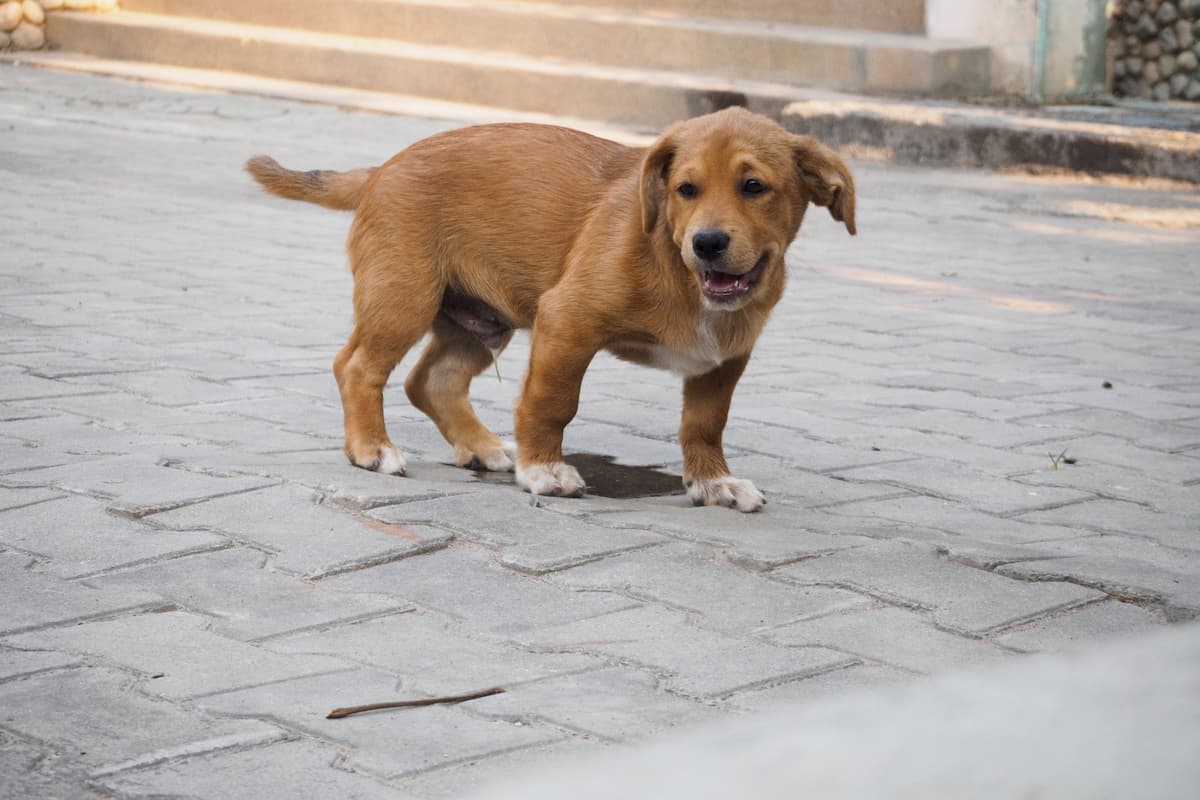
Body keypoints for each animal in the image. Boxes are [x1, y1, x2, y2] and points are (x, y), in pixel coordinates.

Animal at [248, 106, 854, 513]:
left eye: (753, 186)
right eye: (686, 189)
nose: (706, 243)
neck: (678, 268)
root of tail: (380, 168)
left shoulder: (725, 358)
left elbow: (705, 424)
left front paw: (712, 483)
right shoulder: (567, 320)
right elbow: (552, 403)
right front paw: (544, 470)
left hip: (481, 321)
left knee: (432, 379)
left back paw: (482, 448)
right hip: (404, 297)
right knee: (357, 367)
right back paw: (371, 448)